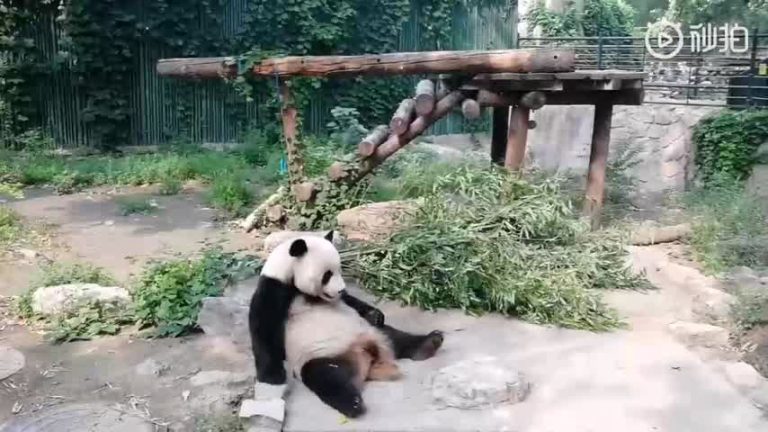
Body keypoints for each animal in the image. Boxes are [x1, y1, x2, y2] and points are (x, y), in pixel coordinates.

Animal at [248, 231, 444, 418]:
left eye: (339, 270)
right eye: (327, 275)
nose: (341, 289)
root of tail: (366, 356)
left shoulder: (339, 300)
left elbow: (351, 301)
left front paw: (375, 314)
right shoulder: (273, 290)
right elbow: (264, 333)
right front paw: (271, 384)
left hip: (370, 331)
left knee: (396, 336)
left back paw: (429, 342)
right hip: (323, 356)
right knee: (326, 377)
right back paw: (353, 404)